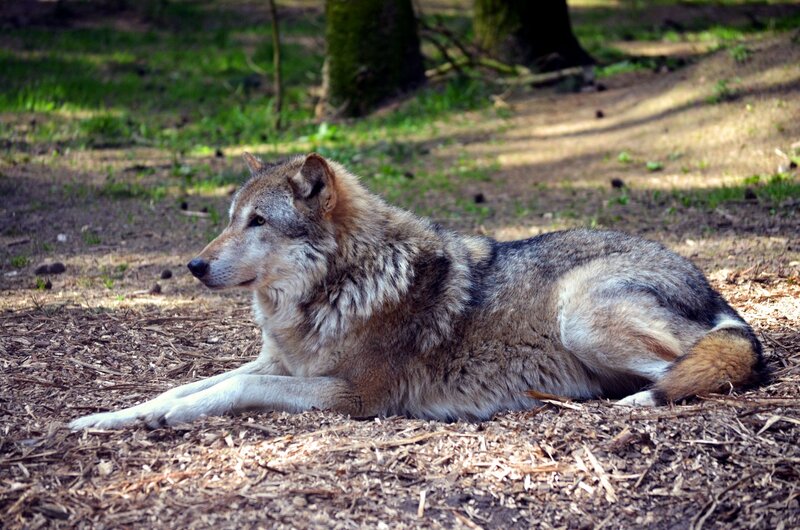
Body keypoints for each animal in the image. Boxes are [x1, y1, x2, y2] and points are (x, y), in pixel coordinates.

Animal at [70, 153, 768, 430]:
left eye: (258, 222)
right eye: (228, 218)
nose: (192, 265)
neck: (339, 287)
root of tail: (713, 290)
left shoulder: (353, 397)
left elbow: (230, 391)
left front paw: (163, 417)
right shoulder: (281, 364)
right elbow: (185, 386)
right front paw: (113, 417)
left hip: (581, 314)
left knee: (726, 366)